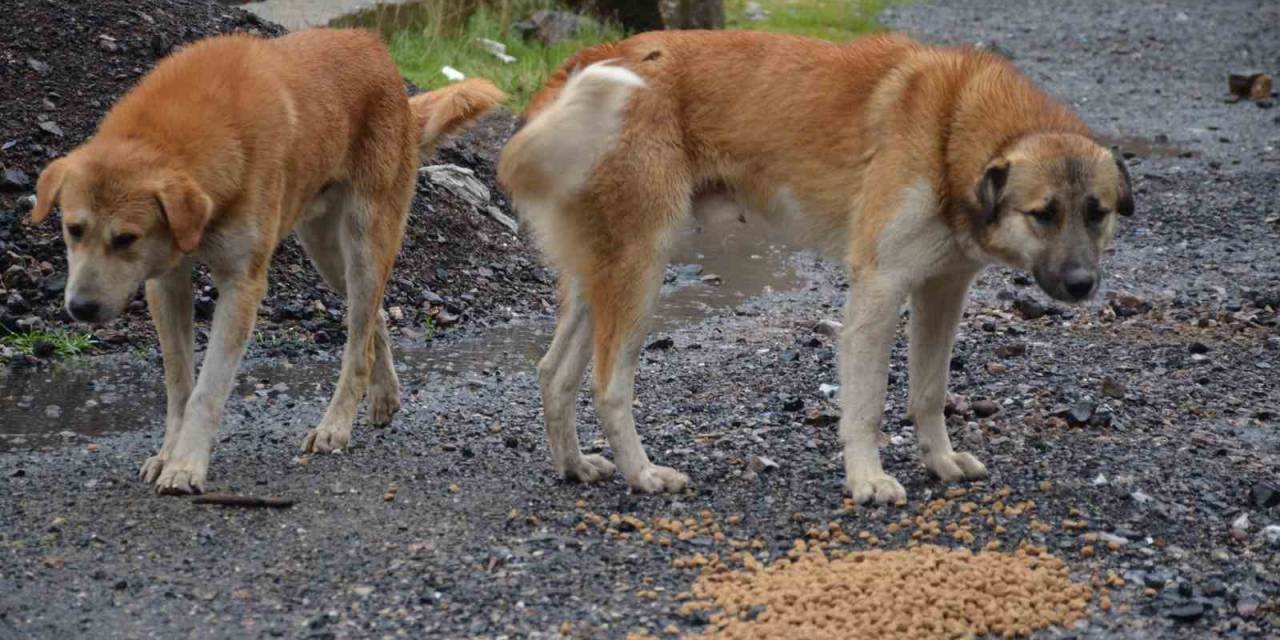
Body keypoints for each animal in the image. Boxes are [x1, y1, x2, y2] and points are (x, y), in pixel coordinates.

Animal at [27, 27, 501, 491]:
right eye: (73, 229)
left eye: (125, 238)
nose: (80, 308)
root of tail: (377, 50)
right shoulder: (166, 282)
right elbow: (179, 386)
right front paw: (168, 455)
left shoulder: (242, 286)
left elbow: (207, 390)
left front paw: (187, 465)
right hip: (327, 254)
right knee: (373, 321)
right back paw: (384, 395)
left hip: (365, 243)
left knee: (357, 345)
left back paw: (335, 426)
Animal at [494, 31, 1136, 499]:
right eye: (1043, 214)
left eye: (1097, 212)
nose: (1082, 285)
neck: (950, 127)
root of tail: (582, 61)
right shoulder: (879, 292)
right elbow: (867, 406)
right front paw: (868, 481)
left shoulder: (941, 292)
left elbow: (929, 392)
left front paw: (942, 460)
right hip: (639, 277)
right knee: (608, 386)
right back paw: (643, 474)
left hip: (599, 279)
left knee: (554, 373)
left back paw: (575, 466)